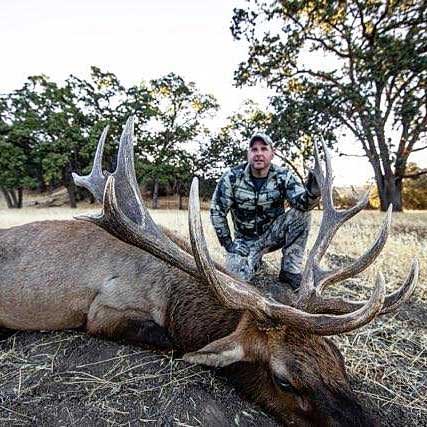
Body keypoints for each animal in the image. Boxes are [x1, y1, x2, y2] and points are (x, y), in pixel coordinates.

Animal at [0, 118, 420, 427]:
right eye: (285, 381)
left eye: (338, 358)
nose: (367, 424)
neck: (170, 293)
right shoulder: (104, 308)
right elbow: (170, 341)